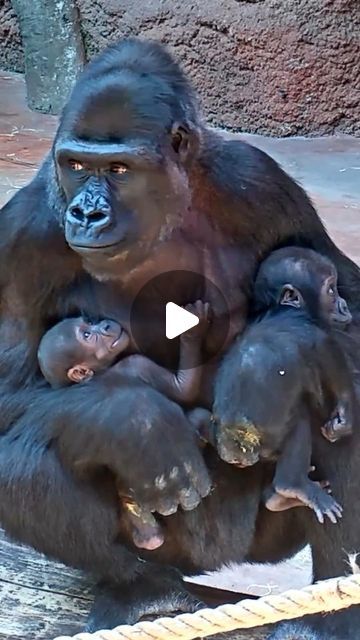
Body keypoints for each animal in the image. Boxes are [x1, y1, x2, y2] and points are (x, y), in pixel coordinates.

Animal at [37, 302, 210, 552]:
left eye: (89, 322)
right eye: (87, 335)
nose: (105, 325)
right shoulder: (136, 363)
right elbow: (183, 389)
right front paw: (192, 331)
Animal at [212, 248, 352, 524]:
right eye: (331, 290)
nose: (344, 304)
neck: (281, 309)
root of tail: (232, 444)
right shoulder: (312, 332)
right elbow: (335, 368)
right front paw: (346, 418)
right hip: (262, 435)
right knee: (299, 423)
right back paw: (293, 487)